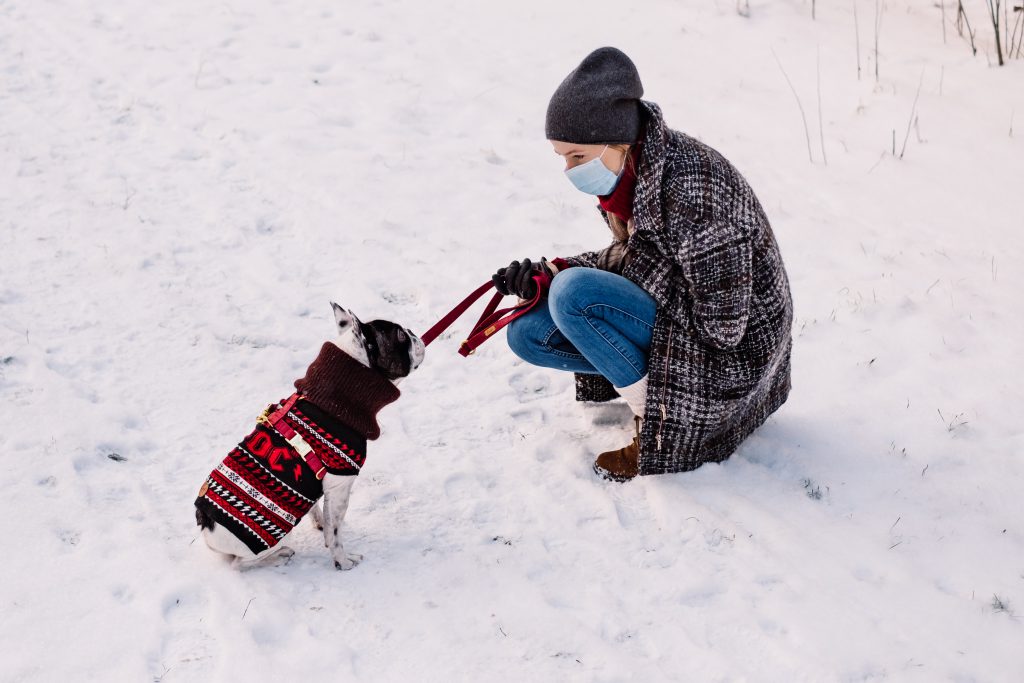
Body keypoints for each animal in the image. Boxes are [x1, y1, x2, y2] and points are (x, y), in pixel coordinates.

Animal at [195, 305, 423, 573]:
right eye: (400, 336)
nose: (413, 332)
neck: (337, 402)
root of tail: (205, 525)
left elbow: (319, 510)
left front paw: (320, 522)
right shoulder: (340, 485)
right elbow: (336, 534)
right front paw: (343, 561)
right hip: (270, 538)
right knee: (240, 564)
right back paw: (281, 554)